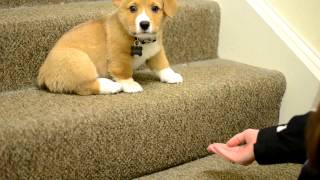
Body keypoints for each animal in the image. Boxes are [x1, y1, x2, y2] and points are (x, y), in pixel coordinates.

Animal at [37, 0, 182, 95]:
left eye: (155, 8)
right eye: (133, 8)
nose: (144, 24)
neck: (140, 40)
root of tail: (42, 73)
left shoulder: (156, 51)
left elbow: (163, 64)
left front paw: (172, 76)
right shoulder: (119, 57)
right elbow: (124, 72)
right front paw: (130, 85)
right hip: (80, 60)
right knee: (84, 87)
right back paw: (111, 86)